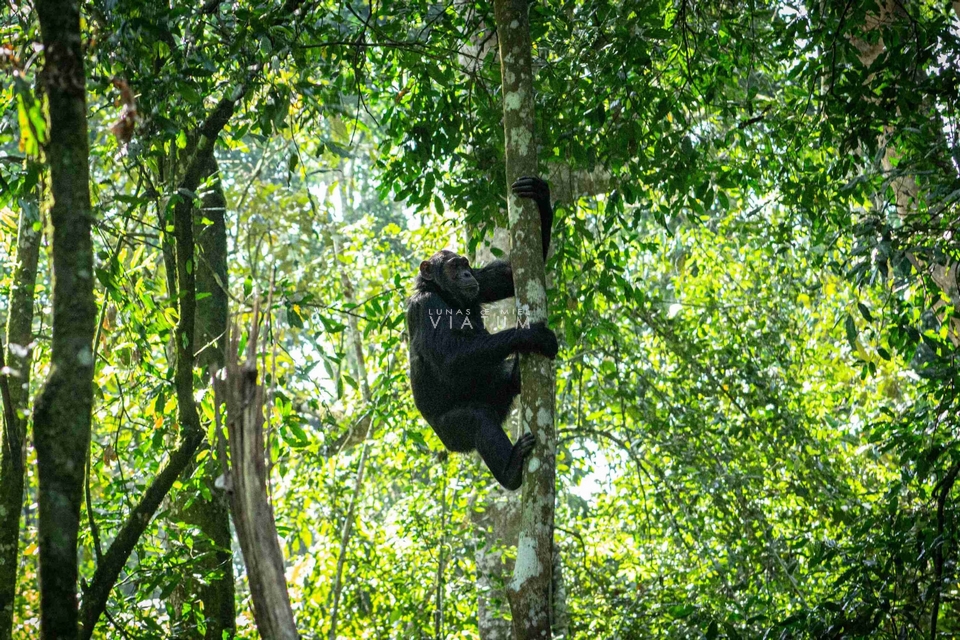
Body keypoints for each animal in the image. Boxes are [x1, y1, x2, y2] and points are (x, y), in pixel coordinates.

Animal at [404, 176, 556, 490]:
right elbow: (450, 359)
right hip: (452, 432)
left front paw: (540, 193)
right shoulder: (426, 307)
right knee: (478, 418)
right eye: (453, 266)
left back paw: (516, 374)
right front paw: (532, 335)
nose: (465, 274)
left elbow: (507, 276)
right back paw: (511, 470)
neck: (441, 292)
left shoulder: (480, 282)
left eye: (465, 264)